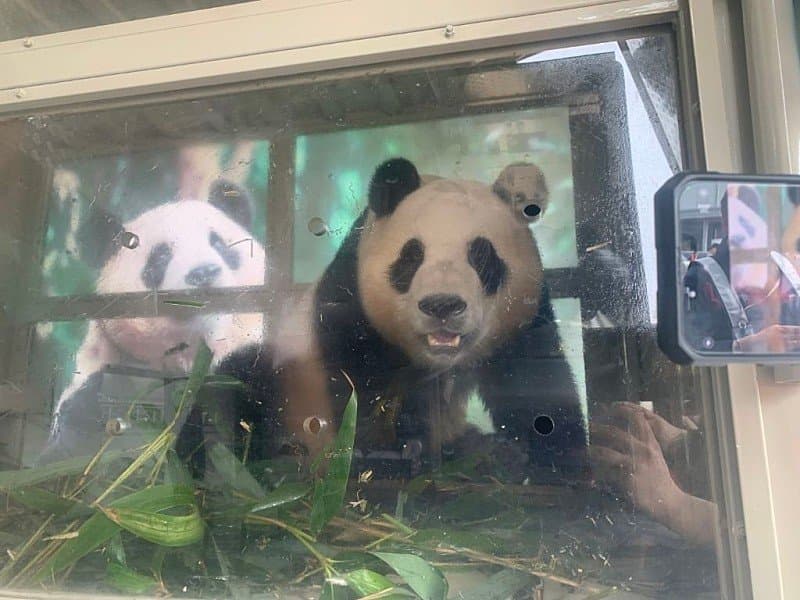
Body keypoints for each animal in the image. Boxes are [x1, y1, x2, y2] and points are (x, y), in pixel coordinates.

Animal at [234, 157, 584, 480]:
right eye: (412, 256)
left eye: (481, 256)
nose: (442, 305)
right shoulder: (352, 302)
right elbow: (360, 388)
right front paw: (387, 458)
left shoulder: (526, 315)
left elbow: (535, 382)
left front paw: (553, 459)